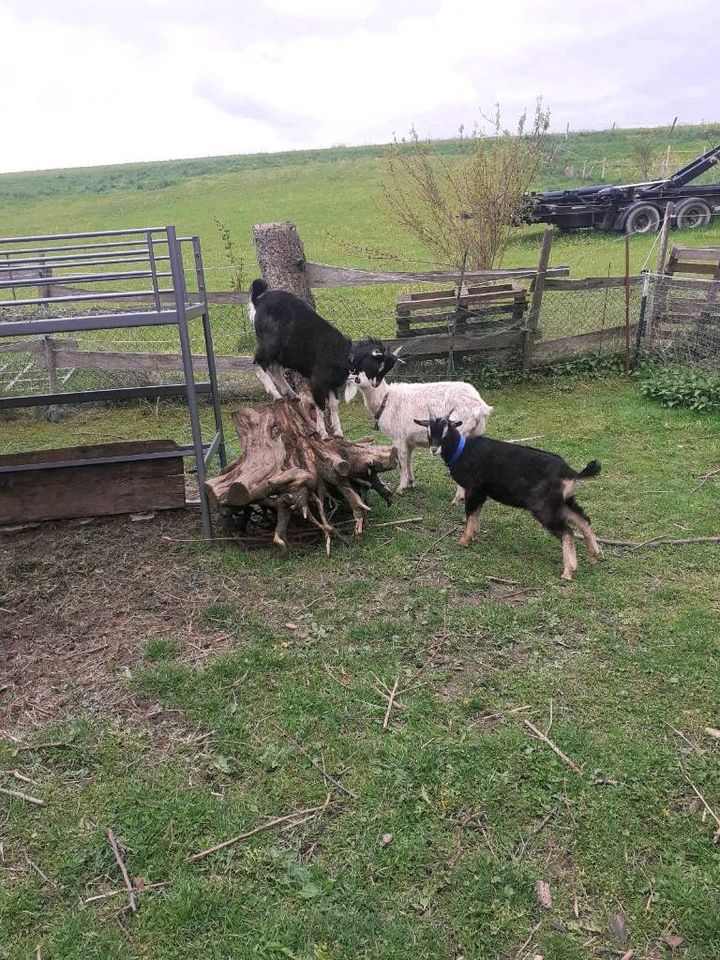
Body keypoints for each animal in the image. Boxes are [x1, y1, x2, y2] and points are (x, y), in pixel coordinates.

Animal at [250, 278, 400, 438]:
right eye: (377, 364)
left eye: (387, 368)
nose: (376, 384)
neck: (344, 355)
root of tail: (258, 300)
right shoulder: (318, 382)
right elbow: (320, 406)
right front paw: (322, 432)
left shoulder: (333, 384)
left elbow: (334, 406)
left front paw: (338, 432)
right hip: (271, 341)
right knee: (259, 362)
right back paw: (276, 393)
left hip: (282, 352)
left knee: (274, 366)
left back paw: (290, 393)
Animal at [344, 370, 492, 498]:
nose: (349, 377)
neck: (386, 400)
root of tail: (481, 407)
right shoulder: (409, 441)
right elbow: (408, 460)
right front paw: (410, 483)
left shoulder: (399, 438)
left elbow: (402, 462)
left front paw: (401, 488)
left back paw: (459, 497)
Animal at [416, 410, 600, 580]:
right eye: (429, 431)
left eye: (446, 432)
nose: (434, 449)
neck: (461, 451)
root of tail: (571, 473)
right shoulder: (481, 493)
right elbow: (476, 514)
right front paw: (474, 534)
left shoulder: (473, 489)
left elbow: (470, 513)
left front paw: (464, 540)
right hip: (562, 501)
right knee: (583, 519)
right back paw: (593, 555)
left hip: (543, 505)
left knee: (567, 531)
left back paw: (569, 570)